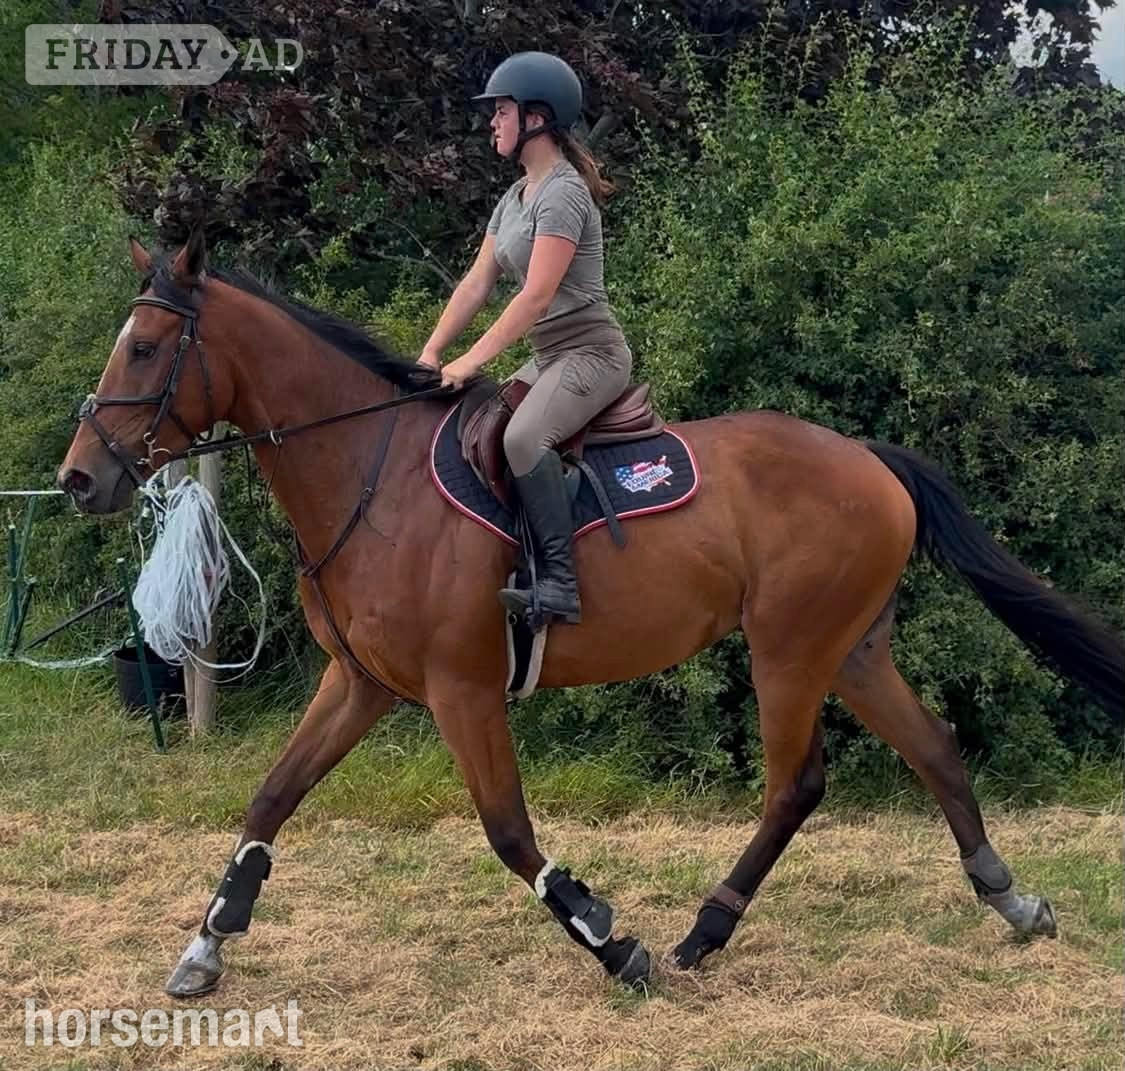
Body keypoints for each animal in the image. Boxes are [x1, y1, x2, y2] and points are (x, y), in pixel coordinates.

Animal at [58, 233, 1124, 997]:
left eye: (144, 348)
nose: (78, 479)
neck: (371, 474)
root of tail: (866, 456)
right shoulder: (359, 684)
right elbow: (270, 798)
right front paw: (205, 948)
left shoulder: (462, 689)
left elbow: (508, 832)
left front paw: (615, 944)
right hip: (852, 649)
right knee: (935, 748)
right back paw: (1011, 899)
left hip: (789, 649)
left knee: (796, 785)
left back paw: (701, 931)